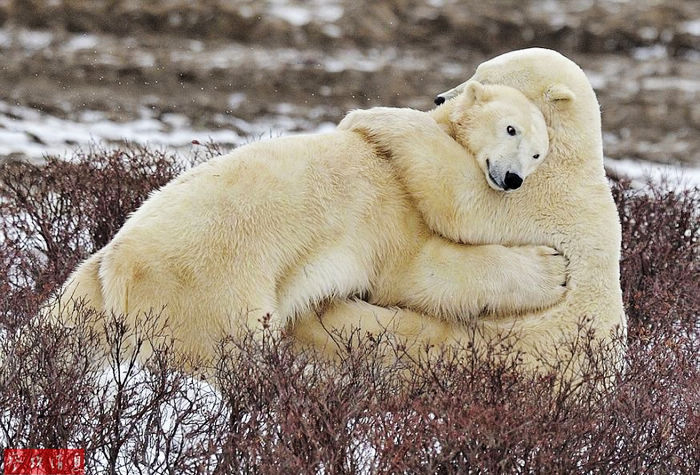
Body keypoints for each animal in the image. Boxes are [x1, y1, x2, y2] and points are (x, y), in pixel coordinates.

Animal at [57, 82, 568, 364]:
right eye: (510, 129)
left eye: (538, 153)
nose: (513, 178)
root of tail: (117, 263)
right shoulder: (394, 205)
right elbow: (419, 271)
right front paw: (554, 268)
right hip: (207, 288)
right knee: (222, 351)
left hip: (89, 293)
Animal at [292, 49, 628, 384]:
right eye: (478, 69)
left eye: (487, 77)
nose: (440, 97)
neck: (570, 153)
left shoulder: (537, 195)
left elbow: (461, 199)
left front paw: (369, 117)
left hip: (503, 344)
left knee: (404, 333)